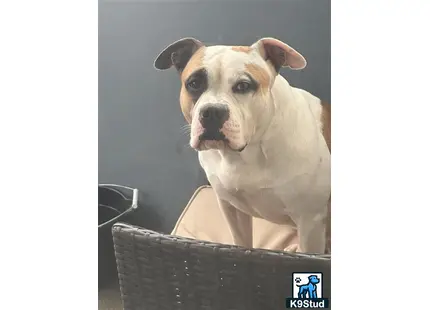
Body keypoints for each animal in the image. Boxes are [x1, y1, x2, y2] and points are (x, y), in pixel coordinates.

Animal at [153, 37, 330, 254]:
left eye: (244, 85)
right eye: (194, 84)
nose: (212, 111)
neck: (247, 153)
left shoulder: (309, 221)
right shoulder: (232, 209)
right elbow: (241, 241)